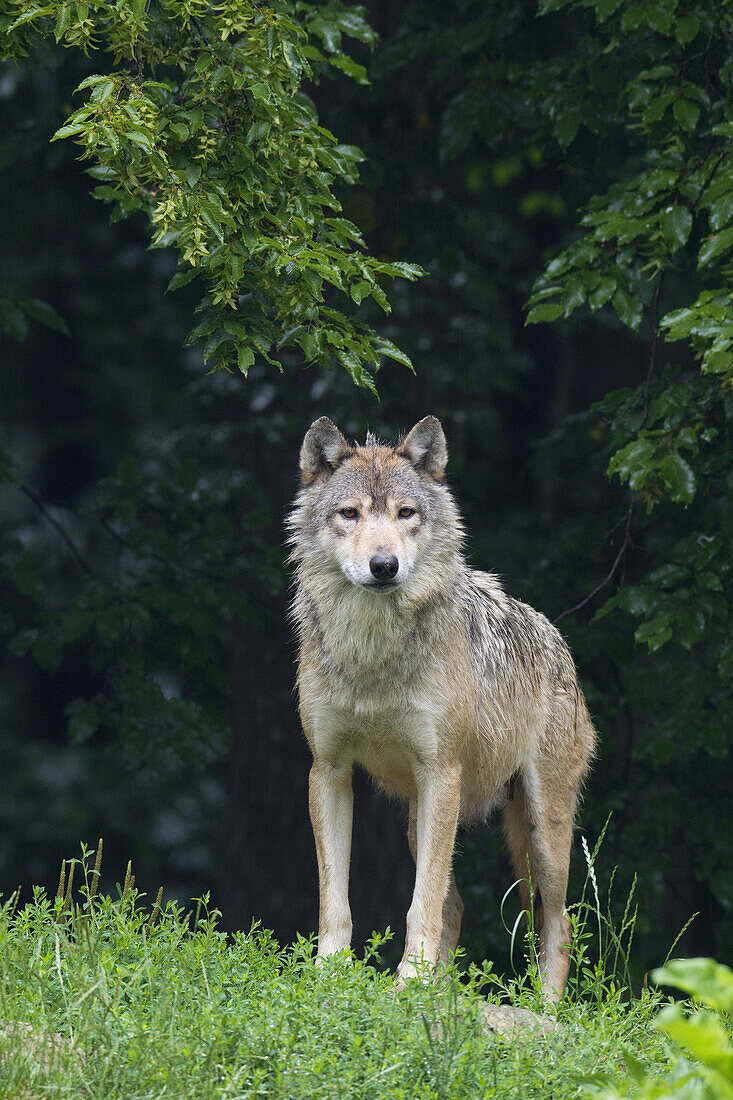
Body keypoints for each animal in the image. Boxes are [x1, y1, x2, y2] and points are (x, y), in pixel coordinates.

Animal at [286, 415, 594, 1003]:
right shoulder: (327, 770)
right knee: (458, 907)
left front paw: (409, 979)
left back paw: (544, 1008)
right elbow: (334, 898)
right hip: (420, 820)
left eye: (406, 513)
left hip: (541, 828)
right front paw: (329, 977)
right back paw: (442, 992)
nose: (384, 565)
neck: (373, 654)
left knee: (558, 920)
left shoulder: (442, 772)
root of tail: (558, 640)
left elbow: (420, 902)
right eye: (350, 513)